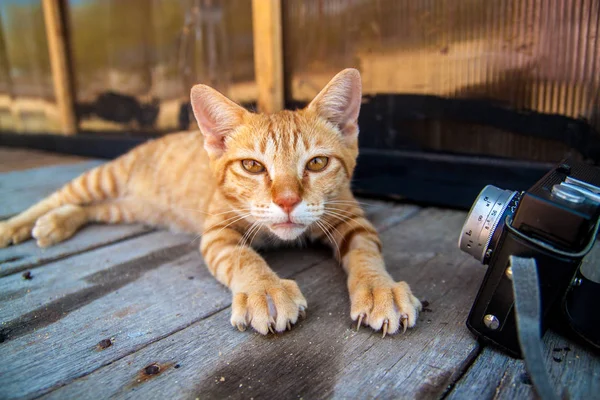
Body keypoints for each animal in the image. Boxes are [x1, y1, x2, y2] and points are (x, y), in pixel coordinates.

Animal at [0, 70, 420, 336]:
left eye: (317, 163)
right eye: (252, 166)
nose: (287, 201)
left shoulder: (351, 217)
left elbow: (365, 253)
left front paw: (379, 288)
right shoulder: (217, 230)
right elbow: (243, 257)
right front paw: (265, 290)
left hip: (126, 206)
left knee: (89, 208)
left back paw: (57, 223)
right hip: (105, 178)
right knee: (59, 196)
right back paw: (16, 226)